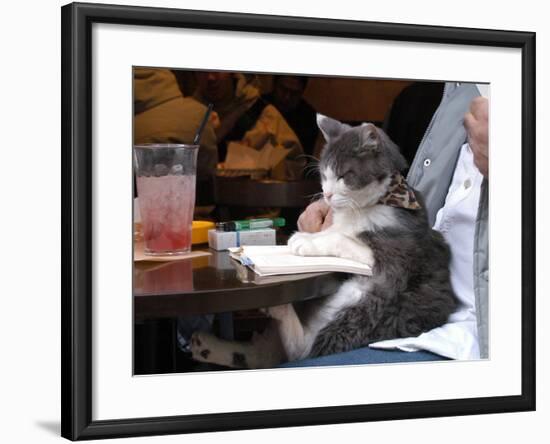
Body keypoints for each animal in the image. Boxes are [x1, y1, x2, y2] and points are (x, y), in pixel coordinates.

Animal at [192, 114, 460, 368]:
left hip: (368, 304)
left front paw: (304, 242)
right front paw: (309, 234)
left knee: (304, 350)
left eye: (343, 175)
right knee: (264, 354)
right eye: (324, 174)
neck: (365, 207)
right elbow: (333, 231)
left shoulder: (395, 256)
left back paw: (277, 310)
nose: (327, 194)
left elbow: (342, 238)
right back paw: (205, 345)